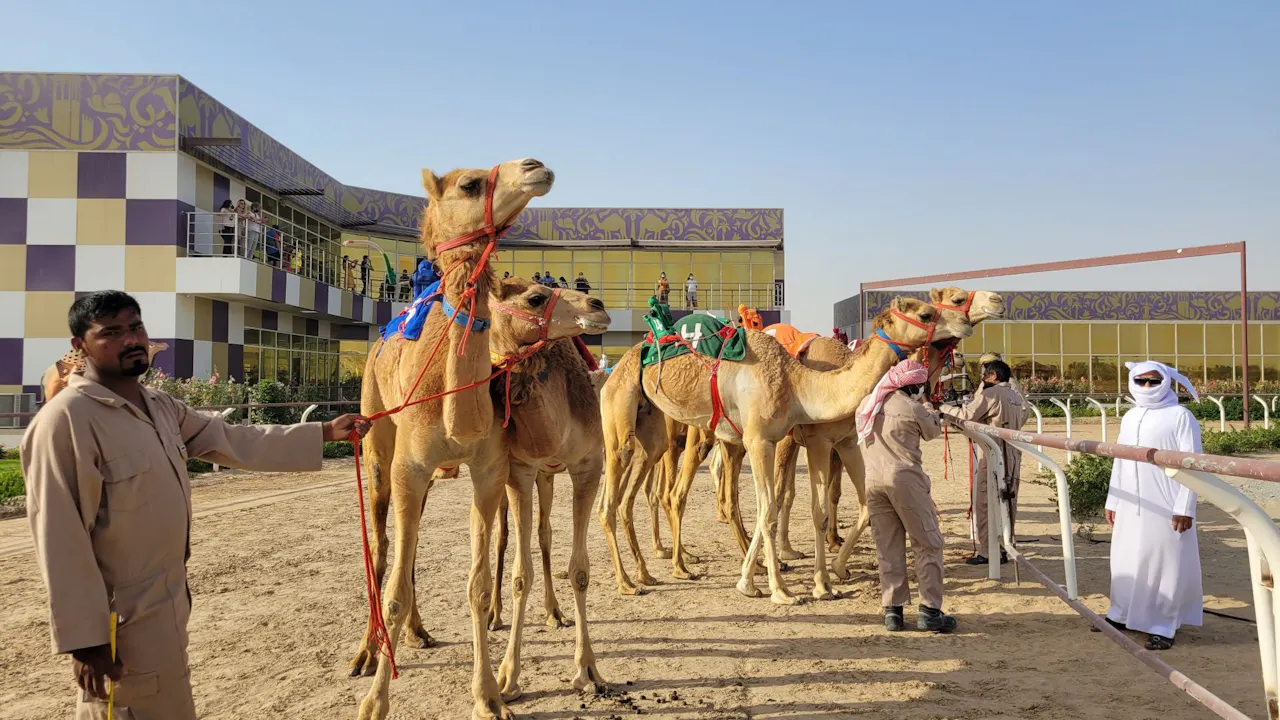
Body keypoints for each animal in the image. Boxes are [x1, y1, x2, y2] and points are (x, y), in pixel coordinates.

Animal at [354, 157, 599, 720]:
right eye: (469, 184)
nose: (535, 166)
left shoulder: (496, 469)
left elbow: (485, 580)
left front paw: (492, 691)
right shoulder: (412, 467)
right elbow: (397, 585)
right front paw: (374, 702)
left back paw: (425, 632)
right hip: (377, 437)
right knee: (383, 547)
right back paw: (370, 650)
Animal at [599, 297, 973, 603]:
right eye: (926, 313)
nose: (965, 323)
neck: (798, 384)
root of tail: (617, 366)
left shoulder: (826, 441)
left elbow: (804, 505)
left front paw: (809, 577)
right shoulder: (765, 440)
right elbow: (770, 509)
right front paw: (781, 589)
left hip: (659, 433)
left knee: (647, 492)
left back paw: (649, 572)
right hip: (630, 419)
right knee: (627, 497)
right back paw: (638, 579)